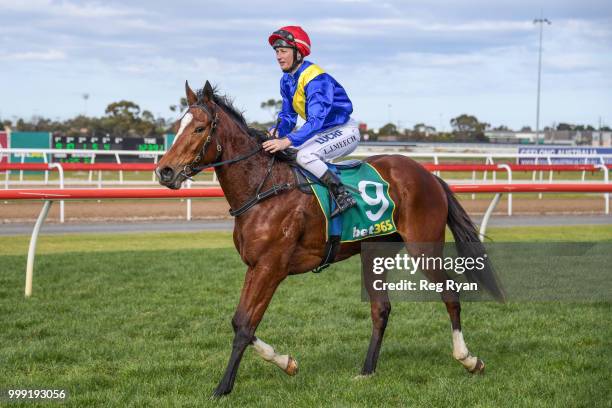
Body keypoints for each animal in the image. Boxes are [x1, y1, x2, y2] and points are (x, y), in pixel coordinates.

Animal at [155, 81, 504, 396]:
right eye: (177, 127)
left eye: (199, 128)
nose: (164, 171)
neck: (262, 188)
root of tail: (429, 175)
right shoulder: (255, 266)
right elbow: (241, 322)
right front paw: (287, 362)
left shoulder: (270, 267)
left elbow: (243, 325)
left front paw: (223, 387)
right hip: (374, 252)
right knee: (381, 309)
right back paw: (366, 370)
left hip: (423, 247)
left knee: (450, 293)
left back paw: (468, 359)